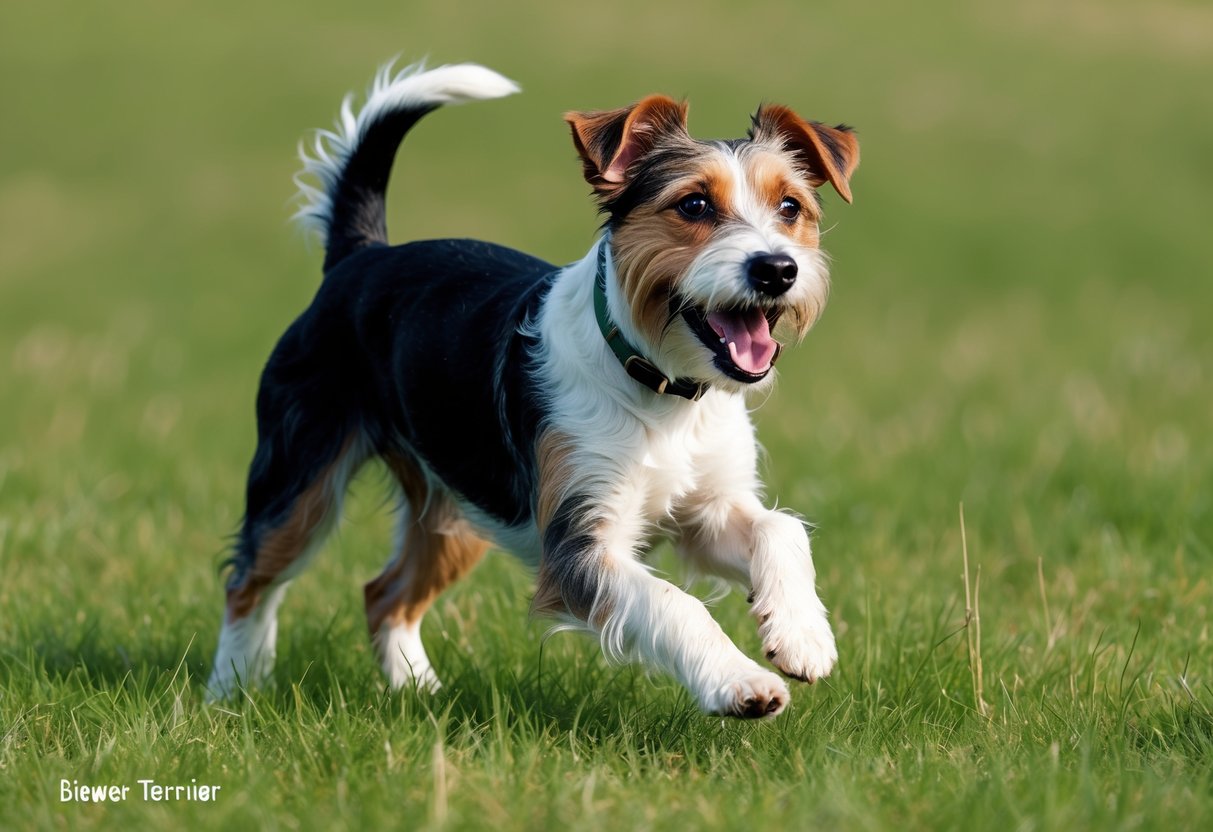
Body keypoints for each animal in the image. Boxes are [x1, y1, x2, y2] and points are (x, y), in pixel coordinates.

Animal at [203, 61, 858, 717]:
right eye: (694, 204)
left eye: (791, 206)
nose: (777, 269)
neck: (662, 389)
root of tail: (361, 255)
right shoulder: (578, 544)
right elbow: (674, 603)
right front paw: (741, 683)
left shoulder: (710, 513)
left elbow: (781, 529)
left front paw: (802, 636)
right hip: (301, 472)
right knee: (249, 581)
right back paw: (232, 690)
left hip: (457, 504)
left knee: (383, 594)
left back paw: (420, 693)